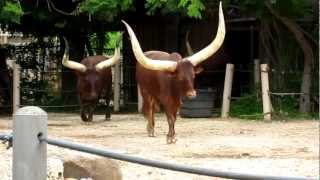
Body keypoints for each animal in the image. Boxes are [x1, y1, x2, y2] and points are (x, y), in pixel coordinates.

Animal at [122, 2, 225, 143]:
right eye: (180, 78)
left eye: (193, 76)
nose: (192, 94)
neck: (173, 86)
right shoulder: (166, 100)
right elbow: (169, 117)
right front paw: (170, 137)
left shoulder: (178, 101)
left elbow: (174, 117)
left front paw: (173, 136)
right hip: (145, 91)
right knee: (149, 109)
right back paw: (150, 130)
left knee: (152, 109)